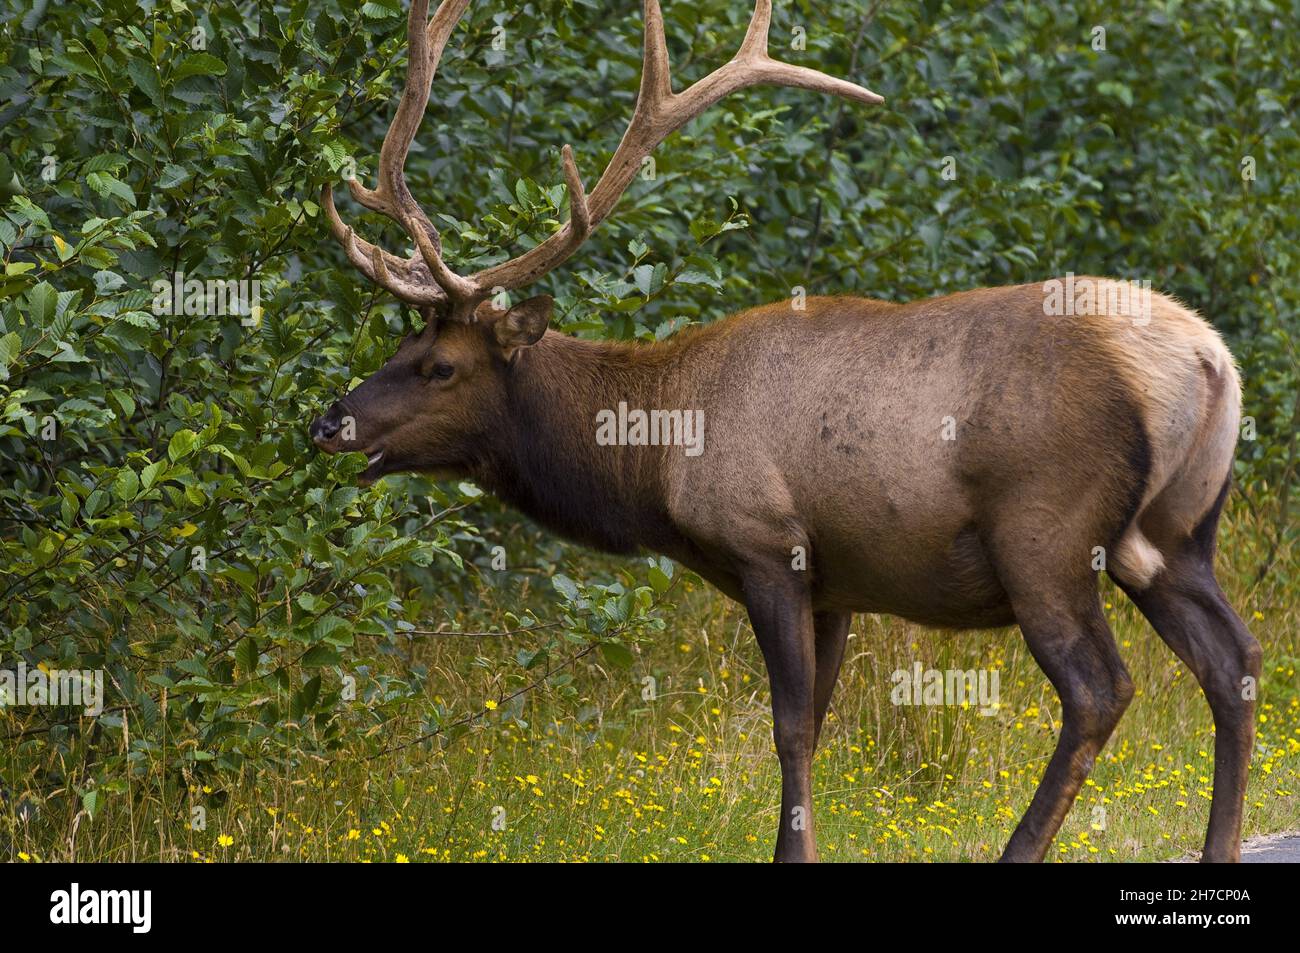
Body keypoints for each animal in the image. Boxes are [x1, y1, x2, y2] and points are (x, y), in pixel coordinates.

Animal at [312, 0, 1258, 863]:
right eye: (401, 342)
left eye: (441, 365)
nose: (329, 420)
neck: (656, 454)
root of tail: (1208, 360)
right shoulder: (836, 579)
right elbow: (822, 721)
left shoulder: (768, 542)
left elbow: (791, 726)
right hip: (1174, 533)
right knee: (1234, 660)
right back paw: (1219, 845)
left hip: (1046, 532)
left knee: (1101, 687)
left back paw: (1022, 847)